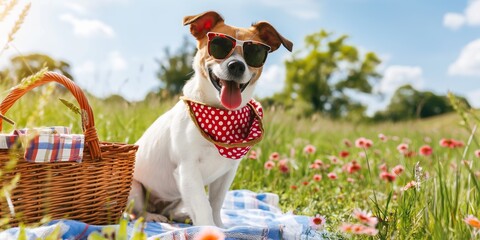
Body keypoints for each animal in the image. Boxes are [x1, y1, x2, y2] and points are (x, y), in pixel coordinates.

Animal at [128, 10, 292, 227]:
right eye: (218, 46)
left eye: (255, 52)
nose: (236, 66)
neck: (221, 114)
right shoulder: (188, 169)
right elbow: (202, 205)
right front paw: (209, 229)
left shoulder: (226, 173)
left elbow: (215, 203)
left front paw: (219, 226)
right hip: (135, 188)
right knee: (137, 212)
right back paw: (152, 216)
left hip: (178, 196)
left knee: (173, 210)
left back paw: (182, 216)